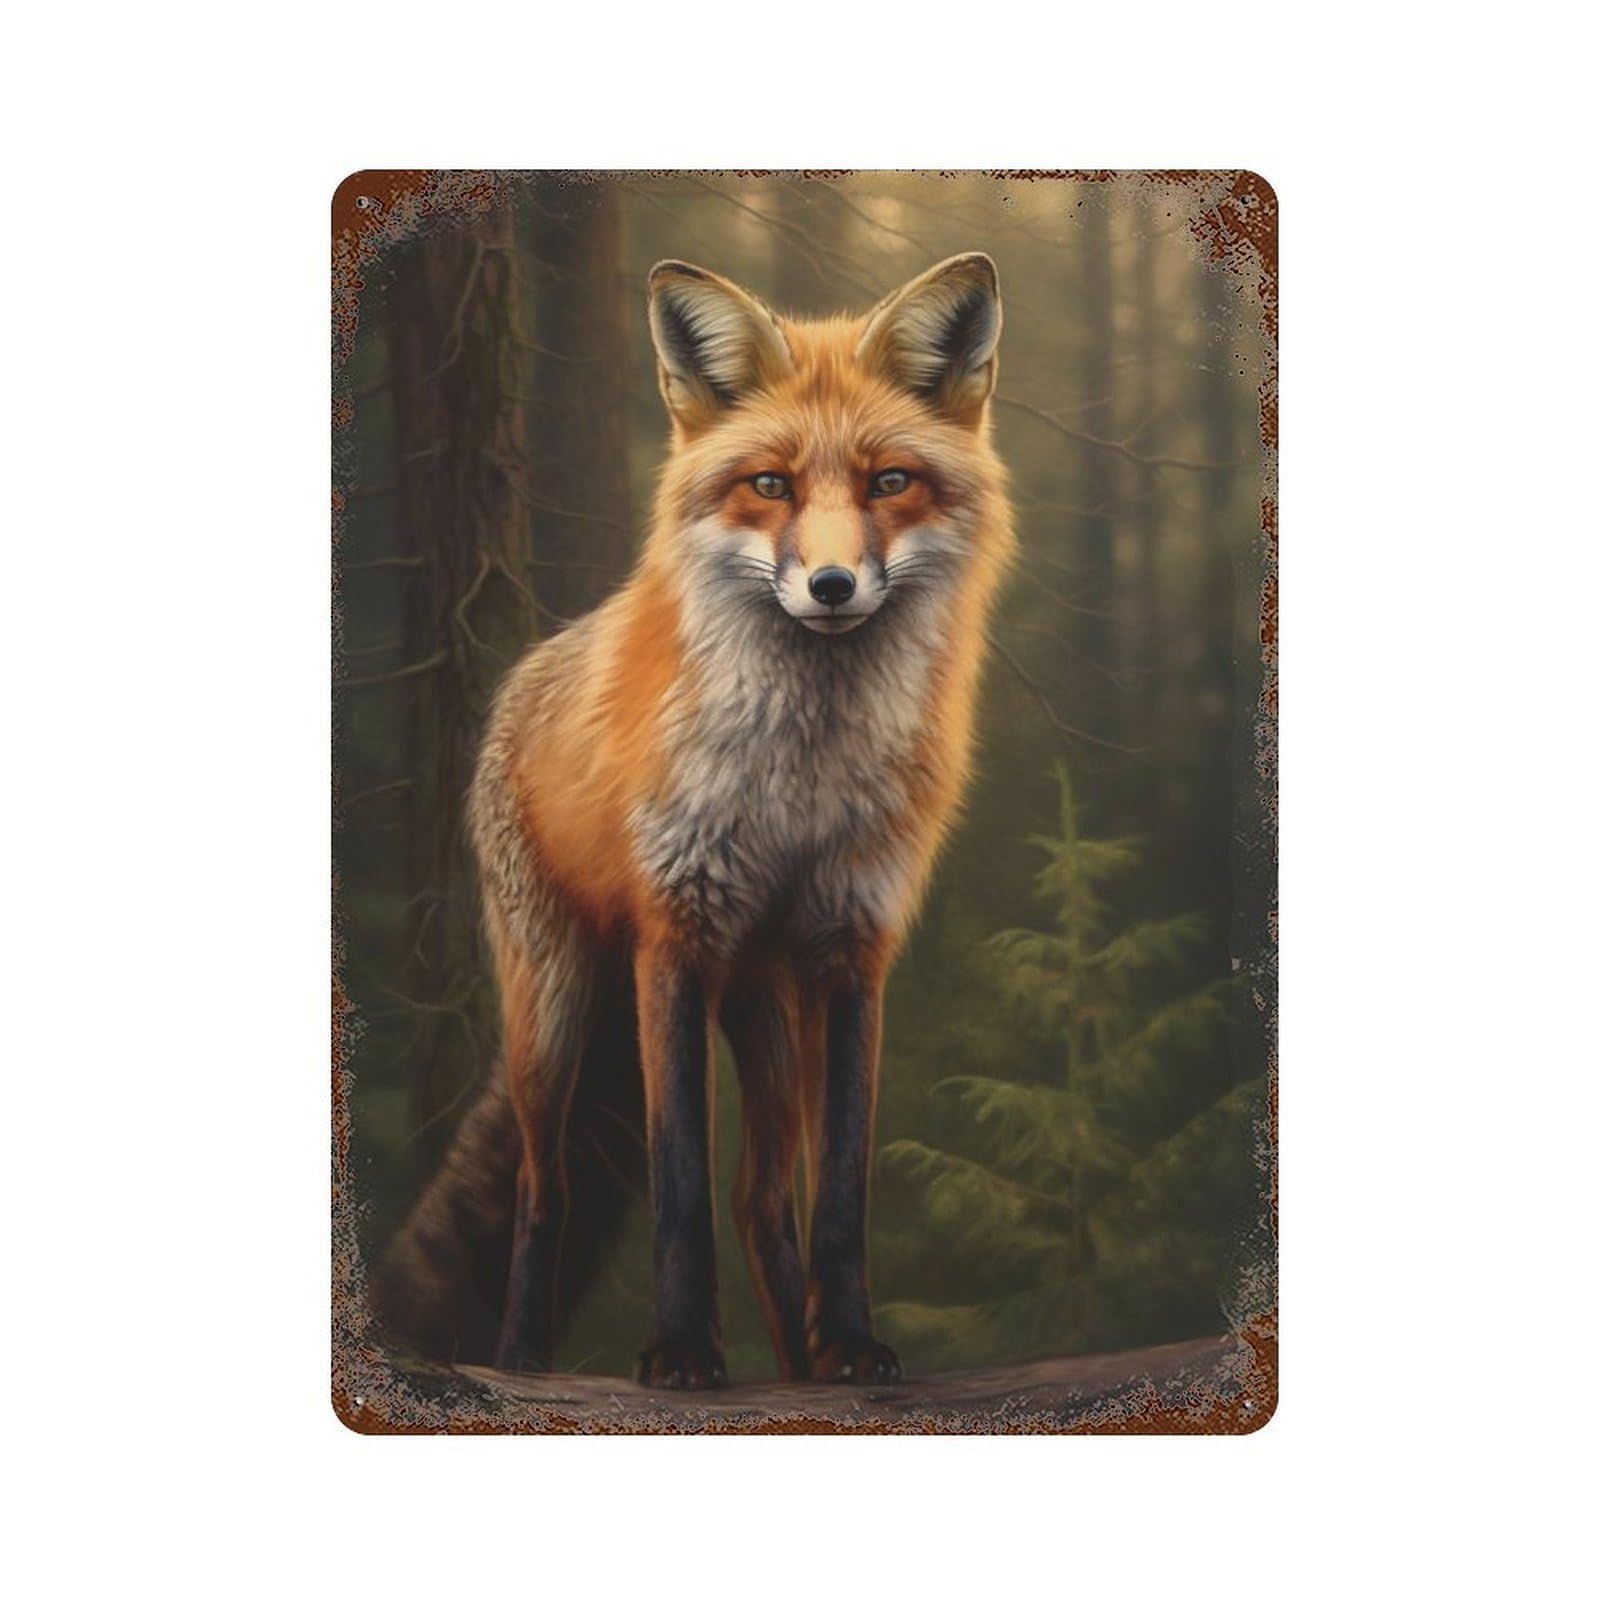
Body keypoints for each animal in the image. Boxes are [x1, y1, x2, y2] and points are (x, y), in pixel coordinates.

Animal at [373, 251, 1015, 1387]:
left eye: (889, 482)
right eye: (771, 485)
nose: (832, 584)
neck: (797, 782)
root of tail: (530, 666)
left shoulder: (851, 946)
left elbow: (837, 1188)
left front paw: (850, 1344)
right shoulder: (674, 937)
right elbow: (677, 1184)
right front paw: (678, 1350)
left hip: (761, 1005)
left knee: (761, 1199)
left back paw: (801, 1364)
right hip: (553, 1008)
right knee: (542, 1189)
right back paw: (522, 1356)